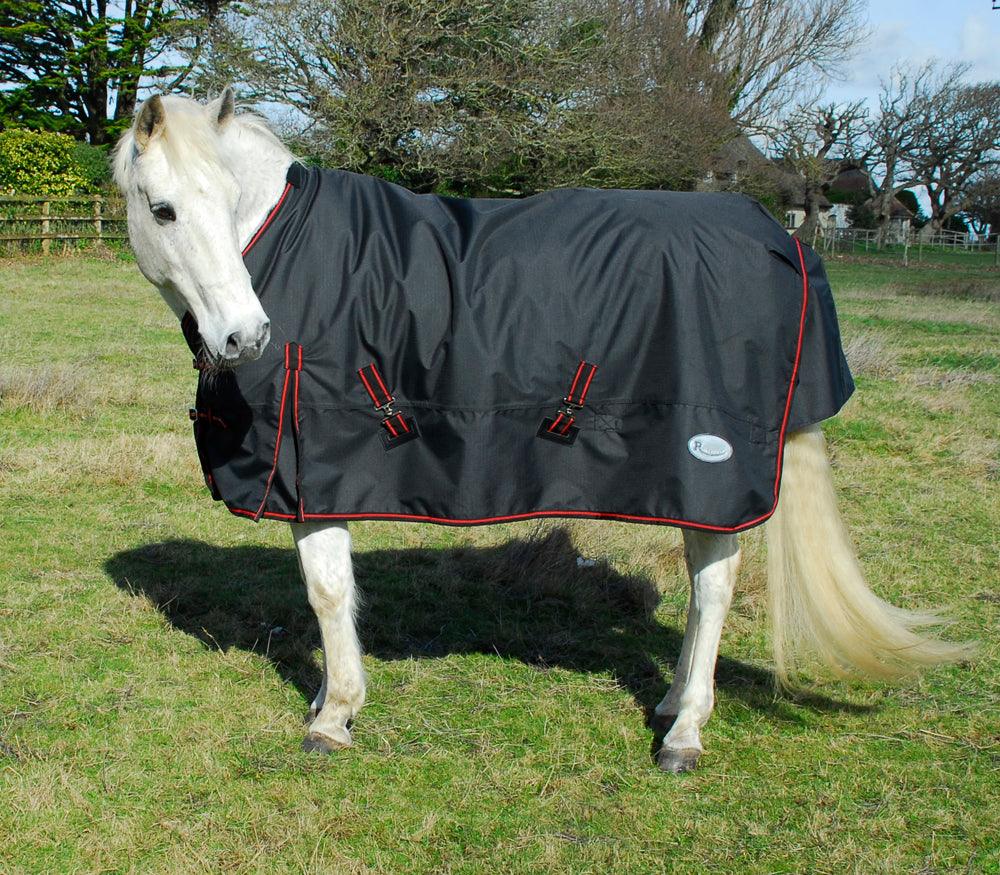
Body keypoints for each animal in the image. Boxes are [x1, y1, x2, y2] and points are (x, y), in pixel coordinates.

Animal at [112, 89, 968, 773]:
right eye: (164, 210)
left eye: (224, 199)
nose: (247, 336)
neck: (288, 249)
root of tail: (780, 236)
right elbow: (336, 593)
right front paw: (331, 698)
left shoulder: (316, 467)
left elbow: (327, 592)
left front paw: (335, 714)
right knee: (701, 587)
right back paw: (670, 706)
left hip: (715, 470)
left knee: (716, 586)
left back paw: (684, 733)